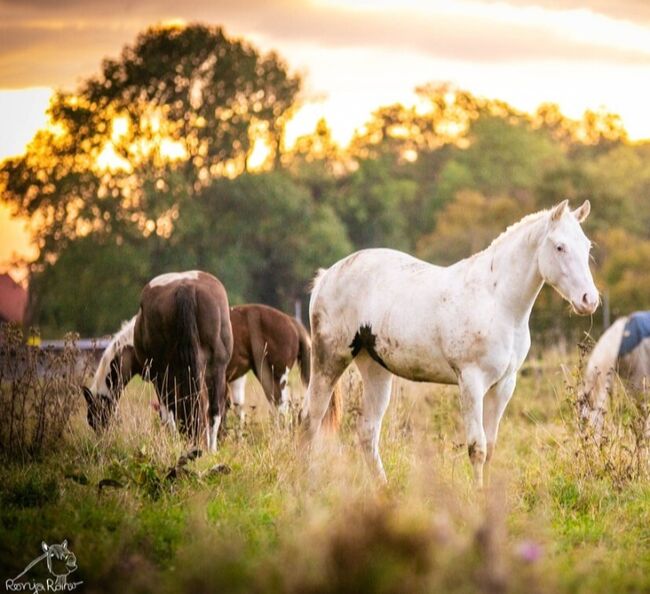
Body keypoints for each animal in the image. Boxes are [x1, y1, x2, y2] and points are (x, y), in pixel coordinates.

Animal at [82, 270, 232, 448]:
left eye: (92, 419)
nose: (102, 440)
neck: (130, 346)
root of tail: (186, 286)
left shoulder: (157, 378)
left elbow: (168, 414)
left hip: (165, 375)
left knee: (172, 413)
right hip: (216, 370)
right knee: (214, 412)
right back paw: (210, 449)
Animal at [302, 201, 596, 484]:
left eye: (587, 246)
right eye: (560, 247)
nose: (589, 300)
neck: (497, 300)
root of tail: (326, 276)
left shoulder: (504, 385)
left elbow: (491, 447)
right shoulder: (471, 382)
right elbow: (477, 448)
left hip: (375, 369)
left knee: (367, 432)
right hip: (329, 362)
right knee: (310, 420)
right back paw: (306, 483)